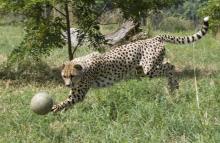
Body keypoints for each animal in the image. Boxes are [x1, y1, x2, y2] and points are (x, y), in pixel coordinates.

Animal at [50, 16, 209, 112]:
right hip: (146, 67)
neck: (82, 65)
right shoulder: (76, 90)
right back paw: (172, 86)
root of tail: (155, 37)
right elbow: (68, 101)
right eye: (64, 76)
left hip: (148, 68)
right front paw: (62, 110)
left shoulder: (79, 92)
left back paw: (173, 85)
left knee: (170, 67)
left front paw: (54, 109)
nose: (67, 85)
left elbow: (68, 100)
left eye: (72, 76)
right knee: (169, 65)